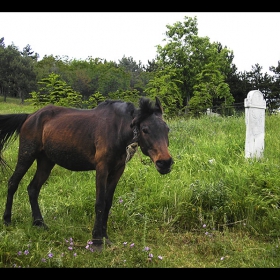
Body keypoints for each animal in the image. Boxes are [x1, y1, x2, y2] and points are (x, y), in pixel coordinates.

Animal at [0, 97, 173, 252]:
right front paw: (96, 241)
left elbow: (108, 202)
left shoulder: (117, 170)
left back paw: (39, 223)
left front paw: (105, 237)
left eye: (167, 129)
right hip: (27, 155)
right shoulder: (102, 168)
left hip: (46, 161)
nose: (165, 163)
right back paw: (7, 220)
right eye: (145, 130)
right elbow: (100, 203)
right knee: (13, 183)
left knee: (33, 188)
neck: (117, 129)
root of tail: (30, 116)